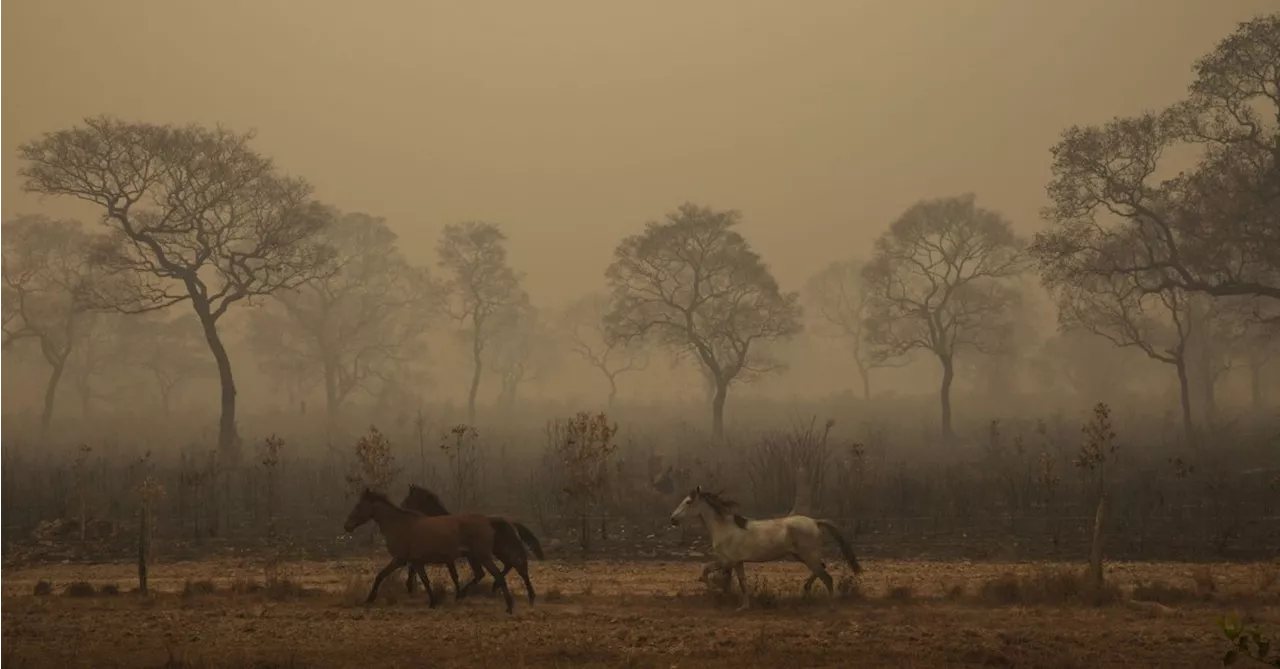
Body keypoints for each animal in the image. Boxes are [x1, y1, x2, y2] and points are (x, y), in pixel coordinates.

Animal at [345, 488, 519, 616]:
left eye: (359, 506)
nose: (347, 525)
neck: (399, 524)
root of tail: (487, 521)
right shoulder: (416, 561)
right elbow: (424, 580)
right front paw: (433, 602)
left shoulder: (400, 559)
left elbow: (381, 575)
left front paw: (369, 599)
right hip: (475, 557)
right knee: (482, 574)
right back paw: (463, 596)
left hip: (482, 556)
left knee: (497, 575)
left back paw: (509, 607)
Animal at [399, 483, 540, 603]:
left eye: (407, 499)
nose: (401, 508)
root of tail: (510, 522)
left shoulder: (445, 556)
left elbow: (452, 575)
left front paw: (410, 587)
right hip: (494, 552)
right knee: (508, 566)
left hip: (494, 552)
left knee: (516, 566)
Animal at [670, 483, 860, 608]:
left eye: (688, 502)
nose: (673, 519)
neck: (724, 528)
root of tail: (815, 522)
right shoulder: (738, 562)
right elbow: (743, 582)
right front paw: (744, 606)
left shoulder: (727, 561)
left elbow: (705, 570)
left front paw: (717, 590)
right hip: (801, 555)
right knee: (822, 568)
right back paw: (805, 590)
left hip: (807, 555)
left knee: (827, 577)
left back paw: (830, 605)